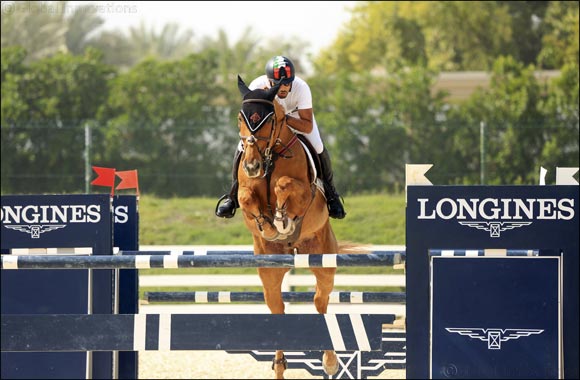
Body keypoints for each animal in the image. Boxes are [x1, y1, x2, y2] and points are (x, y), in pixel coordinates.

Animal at [233, 75, 338, 378]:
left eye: (269, 121)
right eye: (241, 118)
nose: (252, 166)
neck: (270, 156)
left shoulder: (305, 194)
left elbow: (284, 185)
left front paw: (282, 218)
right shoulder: (245, 190)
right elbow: (246, 197)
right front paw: (269, 226)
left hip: (323, 259)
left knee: (320, 300)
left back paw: (329, 361)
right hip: (270, 270)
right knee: (277, 306)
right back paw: (279, 365)